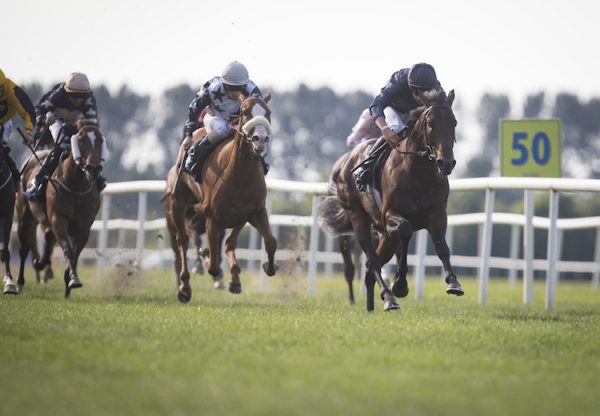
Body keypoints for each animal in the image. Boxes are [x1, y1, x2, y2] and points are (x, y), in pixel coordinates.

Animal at [16, 118, 105, 298]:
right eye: (81, 139)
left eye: (100, 139)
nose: (93, 168)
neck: (76, 187)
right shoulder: (59, 219)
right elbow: (68, 250)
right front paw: (74, 280)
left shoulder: (84, 227)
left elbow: (75, 255)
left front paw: (69, 282)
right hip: (24, 215)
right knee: (23, 249)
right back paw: (20, 282)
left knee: (48, 237)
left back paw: (41, 263)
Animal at [318, 91, 464, 312]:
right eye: (430, 123)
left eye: (453, 122)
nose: (446, 163)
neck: (418, 172)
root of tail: (343, 164)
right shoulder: (389, 215)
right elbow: (405, 231)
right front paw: (400, 285)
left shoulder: (437, 214)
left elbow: (442, 247)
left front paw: (453, 282)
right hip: (358, 219)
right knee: (371, 259)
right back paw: (389, 297)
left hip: (384, 234)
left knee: (372, 264)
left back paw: (372, 305)